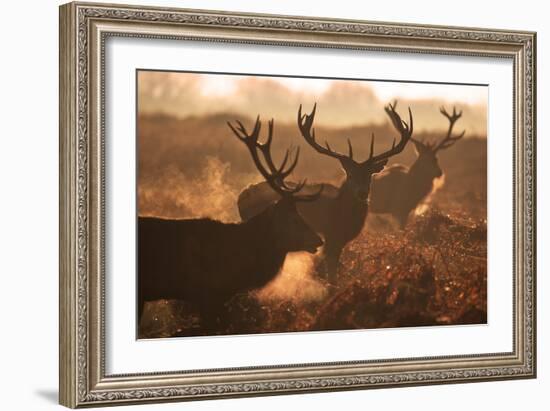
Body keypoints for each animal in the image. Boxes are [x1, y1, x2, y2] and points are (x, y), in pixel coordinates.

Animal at [238, 103, 414, 284]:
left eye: (370, 175)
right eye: (350, 174)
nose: (362, 192)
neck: (339, 215)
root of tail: (242, 195)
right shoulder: (330, 238)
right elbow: (331, 275)